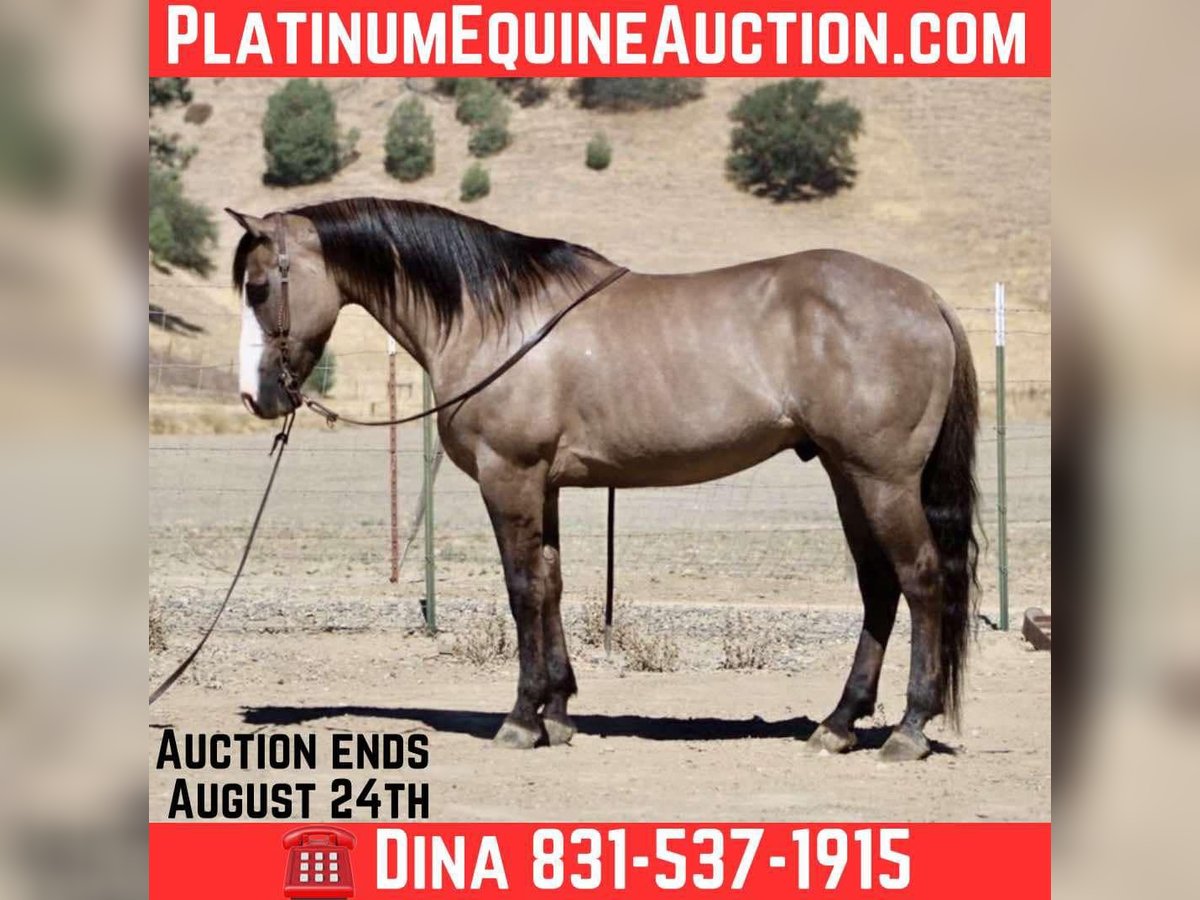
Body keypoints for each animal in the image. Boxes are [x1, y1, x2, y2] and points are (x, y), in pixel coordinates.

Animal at [227, 196, 979, 762]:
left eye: (260, 287)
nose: (255, 397)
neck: (500, 319)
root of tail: (926, 298)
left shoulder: (509, 479)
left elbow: (523, 590)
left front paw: (521, 719)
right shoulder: (544, 486)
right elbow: (552, 586)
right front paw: (558, 712)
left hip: (881, 479)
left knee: (920, 581)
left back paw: (909, 730)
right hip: (847, 475)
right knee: (879, 587)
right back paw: (840, 724)